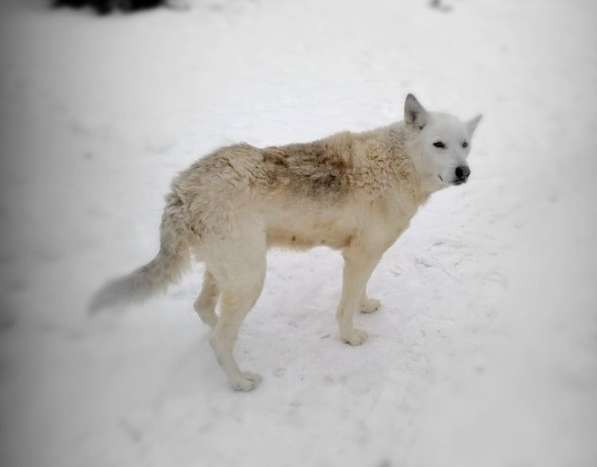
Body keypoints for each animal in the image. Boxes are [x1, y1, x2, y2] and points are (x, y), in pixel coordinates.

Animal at [91, 95, 482, 392]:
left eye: (465, 145)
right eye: (438, 144)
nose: (464, 172)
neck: (398, 165)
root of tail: (182, 191)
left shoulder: (365, 255)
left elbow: (359, 294)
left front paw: (365, 305)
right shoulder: (360, 255)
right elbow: (344, 308)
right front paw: (349, 337)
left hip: (228, 272)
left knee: (204, 310)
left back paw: (221, 333)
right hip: (250, 277)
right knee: (219, 339)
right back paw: (239, 381)